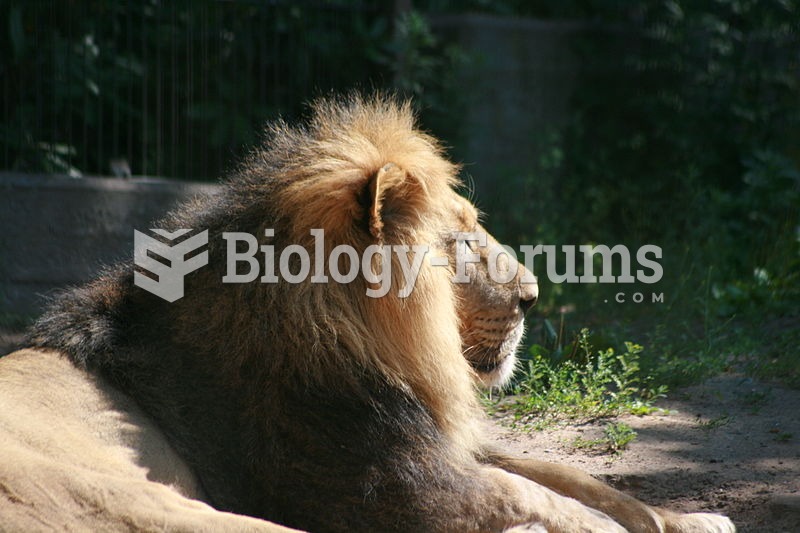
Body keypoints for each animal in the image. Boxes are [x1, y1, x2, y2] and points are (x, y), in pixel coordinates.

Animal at [0, 95, 736, 532]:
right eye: (459, 241)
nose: (532, 295)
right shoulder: (390, 487)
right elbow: (534, 493)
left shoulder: (435, 442)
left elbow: (579, 480)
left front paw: (691, 520)